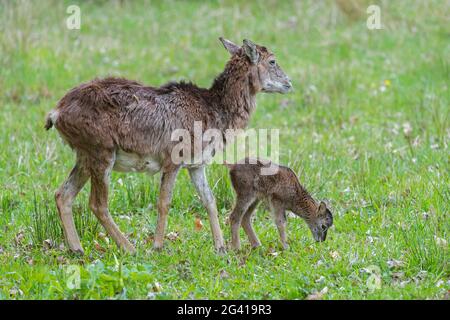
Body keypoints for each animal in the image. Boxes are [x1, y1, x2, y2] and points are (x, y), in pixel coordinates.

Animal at [44, 38, 292, 255]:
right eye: (272, 60)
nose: (289, 83)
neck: (213, 112)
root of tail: (55, 113)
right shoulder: (173, 158)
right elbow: (164, 202)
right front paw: (157, 246)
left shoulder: (196, 164)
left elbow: (209, 200)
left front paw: (221, 247)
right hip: (101, 151)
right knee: (97, 203)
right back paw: (129, 248)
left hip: (84, 155)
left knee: (63, 194)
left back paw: (77, 249)